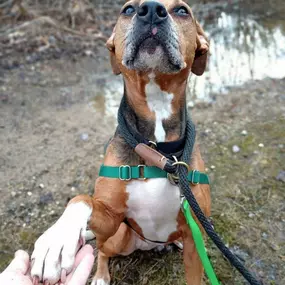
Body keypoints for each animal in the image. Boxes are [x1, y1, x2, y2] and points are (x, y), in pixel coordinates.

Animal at [30, 1, 209, 282]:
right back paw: (101, 276)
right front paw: (57, 239)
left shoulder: (196, 239)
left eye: (182, 10)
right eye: (128, 9)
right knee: (103, 250)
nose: (151, 9)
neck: (158, 151)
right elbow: (82, 199)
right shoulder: (111, 218)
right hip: (119, 237)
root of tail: (149, 244)